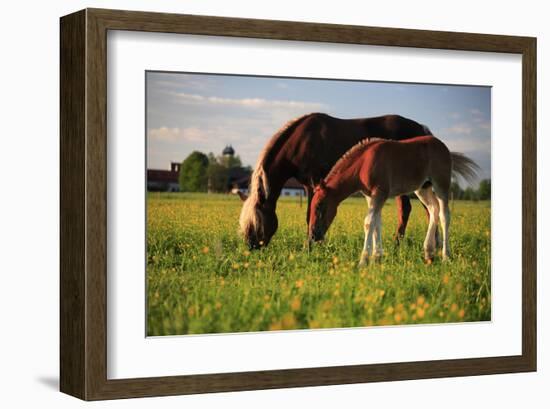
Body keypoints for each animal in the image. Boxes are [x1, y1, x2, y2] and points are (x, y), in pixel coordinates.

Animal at [239, 111, 434, 249]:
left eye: (255, 222)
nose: (251, 246)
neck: (301, 142)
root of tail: (421, 129)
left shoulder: (313, 183)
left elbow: (311, 214)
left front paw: (310, 246)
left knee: (418, 209)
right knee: (415, 209)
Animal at [308, 135, 480, 262]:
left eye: (319, 205)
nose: (313, 235)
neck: (364, 164)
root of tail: (444, 147)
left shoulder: (380, 193)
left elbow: (368, 223)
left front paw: (364, 260)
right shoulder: (371, 197)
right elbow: (376, 224)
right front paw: (377, 257)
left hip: (441, 185)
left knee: (444, 215)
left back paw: (445, 256)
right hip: (422, 188)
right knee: (433, 210)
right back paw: (428, 252)